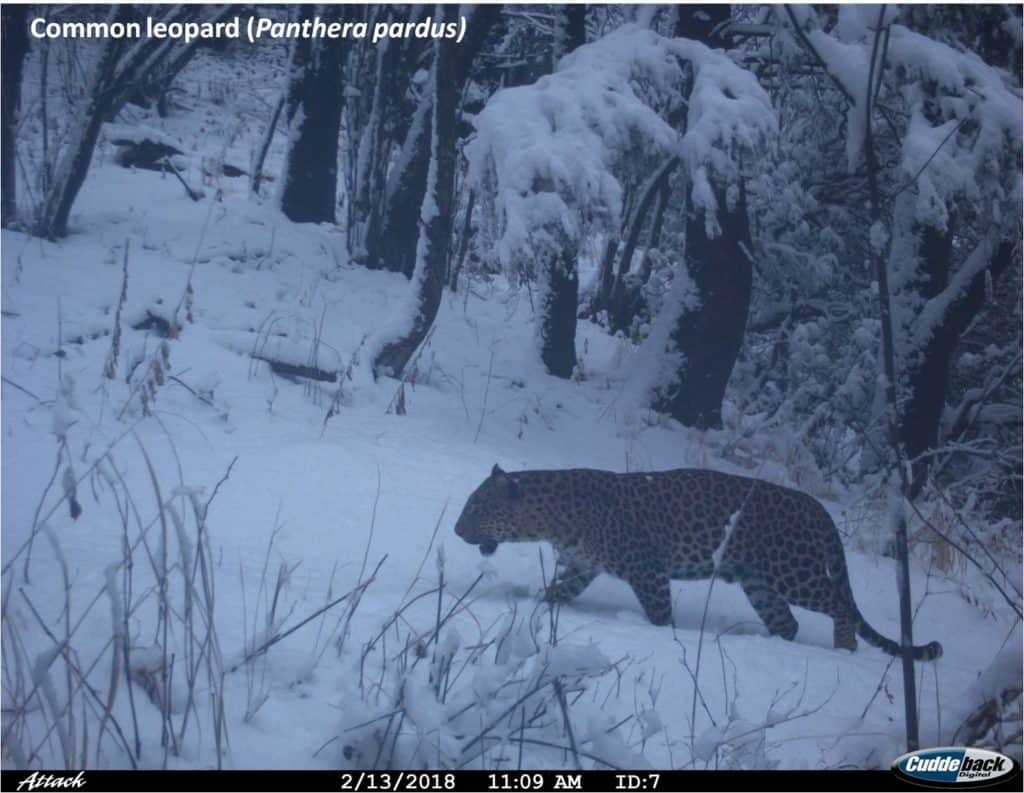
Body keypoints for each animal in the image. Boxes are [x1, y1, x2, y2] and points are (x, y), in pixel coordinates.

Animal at [454, 465, 943, 660]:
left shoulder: (646, 570)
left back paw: (843, 649)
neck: (552, 517)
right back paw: (769, 644)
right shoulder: (580, 568)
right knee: (786, 623)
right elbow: (554, 593)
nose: (458, 531)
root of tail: (818, 507)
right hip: (758, 582)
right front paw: (534, 607)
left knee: (839, 605)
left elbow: (658, 613)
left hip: (794, 573)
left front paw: (663, 636)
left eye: (476, 508)